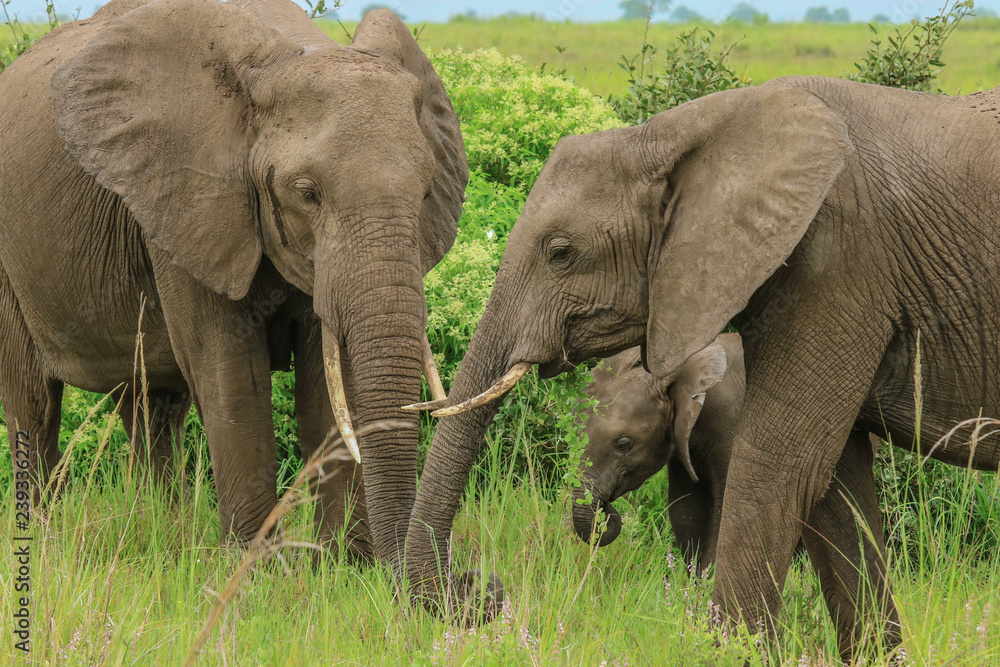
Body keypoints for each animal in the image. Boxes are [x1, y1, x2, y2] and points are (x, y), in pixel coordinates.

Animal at [0, 0, 468, 568]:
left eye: (425, 192)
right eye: (307, 193)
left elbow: (327, 380)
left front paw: (340, 568)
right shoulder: (190, 200)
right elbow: (230, 372)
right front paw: (257, 571)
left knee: (151, 406)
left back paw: (165, 532)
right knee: (34, 406)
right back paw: (44, 543)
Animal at [576, 332, 748, 572]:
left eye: (623, 445)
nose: (607, 505)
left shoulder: (730, 429)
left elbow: (726, 514)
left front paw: (706, 578)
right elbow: (686, 510)